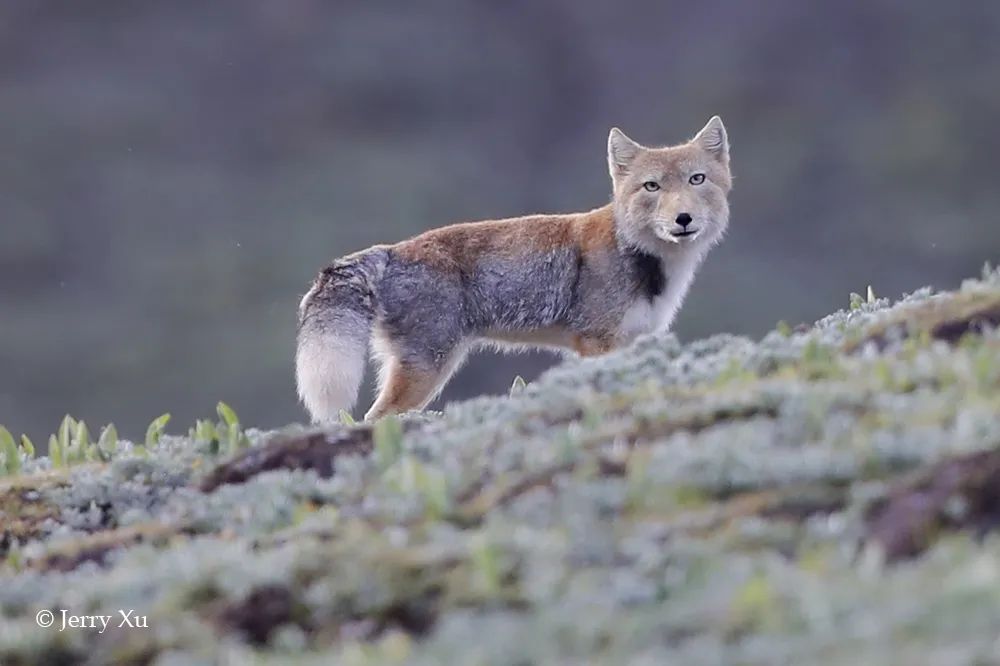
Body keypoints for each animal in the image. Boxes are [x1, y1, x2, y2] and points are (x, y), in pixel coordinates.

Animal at [294, 116, 728, 420]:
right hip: (428, 369)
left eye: (697, 179)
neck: (647, 262)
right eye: (652, 187)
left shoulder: (632, 342)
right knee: (376, 419)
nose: (683, 219)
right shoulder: (596, 344)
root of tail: (391, 251)